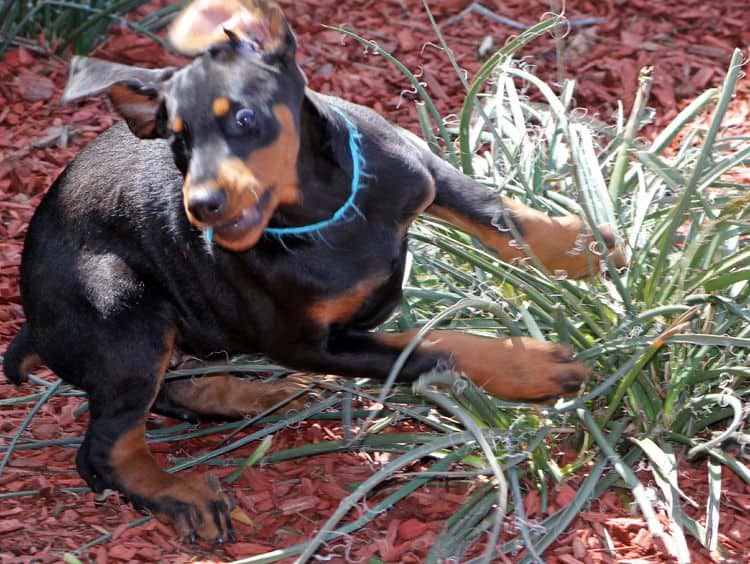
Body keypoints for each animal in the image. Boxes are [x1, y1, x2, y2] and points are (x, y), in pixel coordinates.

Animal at [1, 0, 624, 544]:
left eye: (244, 118)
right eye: (178, 140)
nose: (200, 206)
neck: (327, 213)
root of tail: (33, 321)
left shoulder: (421, 168)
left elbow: (499, 212)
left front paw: (585, 247)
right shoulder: (308, 342)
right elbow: (431, 345)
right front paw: (532, 367)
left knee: (172, 393)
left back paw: (261, 396)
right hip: (125, 305)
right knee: (106, 447)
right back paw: (182, 494)